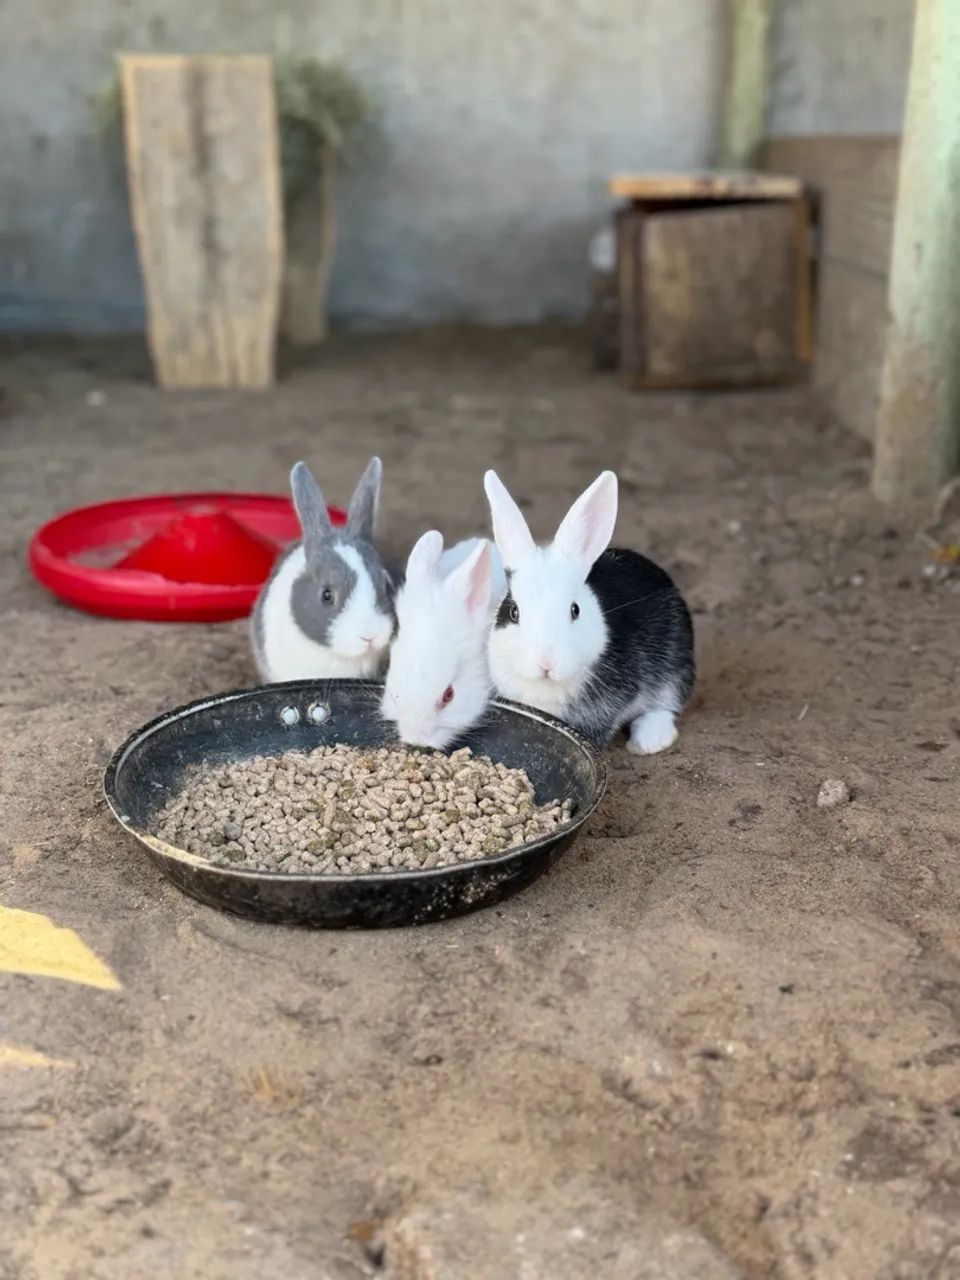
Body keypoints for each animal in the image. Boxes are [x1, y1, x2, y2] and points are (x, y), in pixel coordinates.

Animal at [483, 469, 694, 754]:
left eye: (575, 610)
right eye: (513, 612)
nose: (546, 663)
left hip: (675, 665)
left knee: (666, 705)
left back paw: (648, 741)